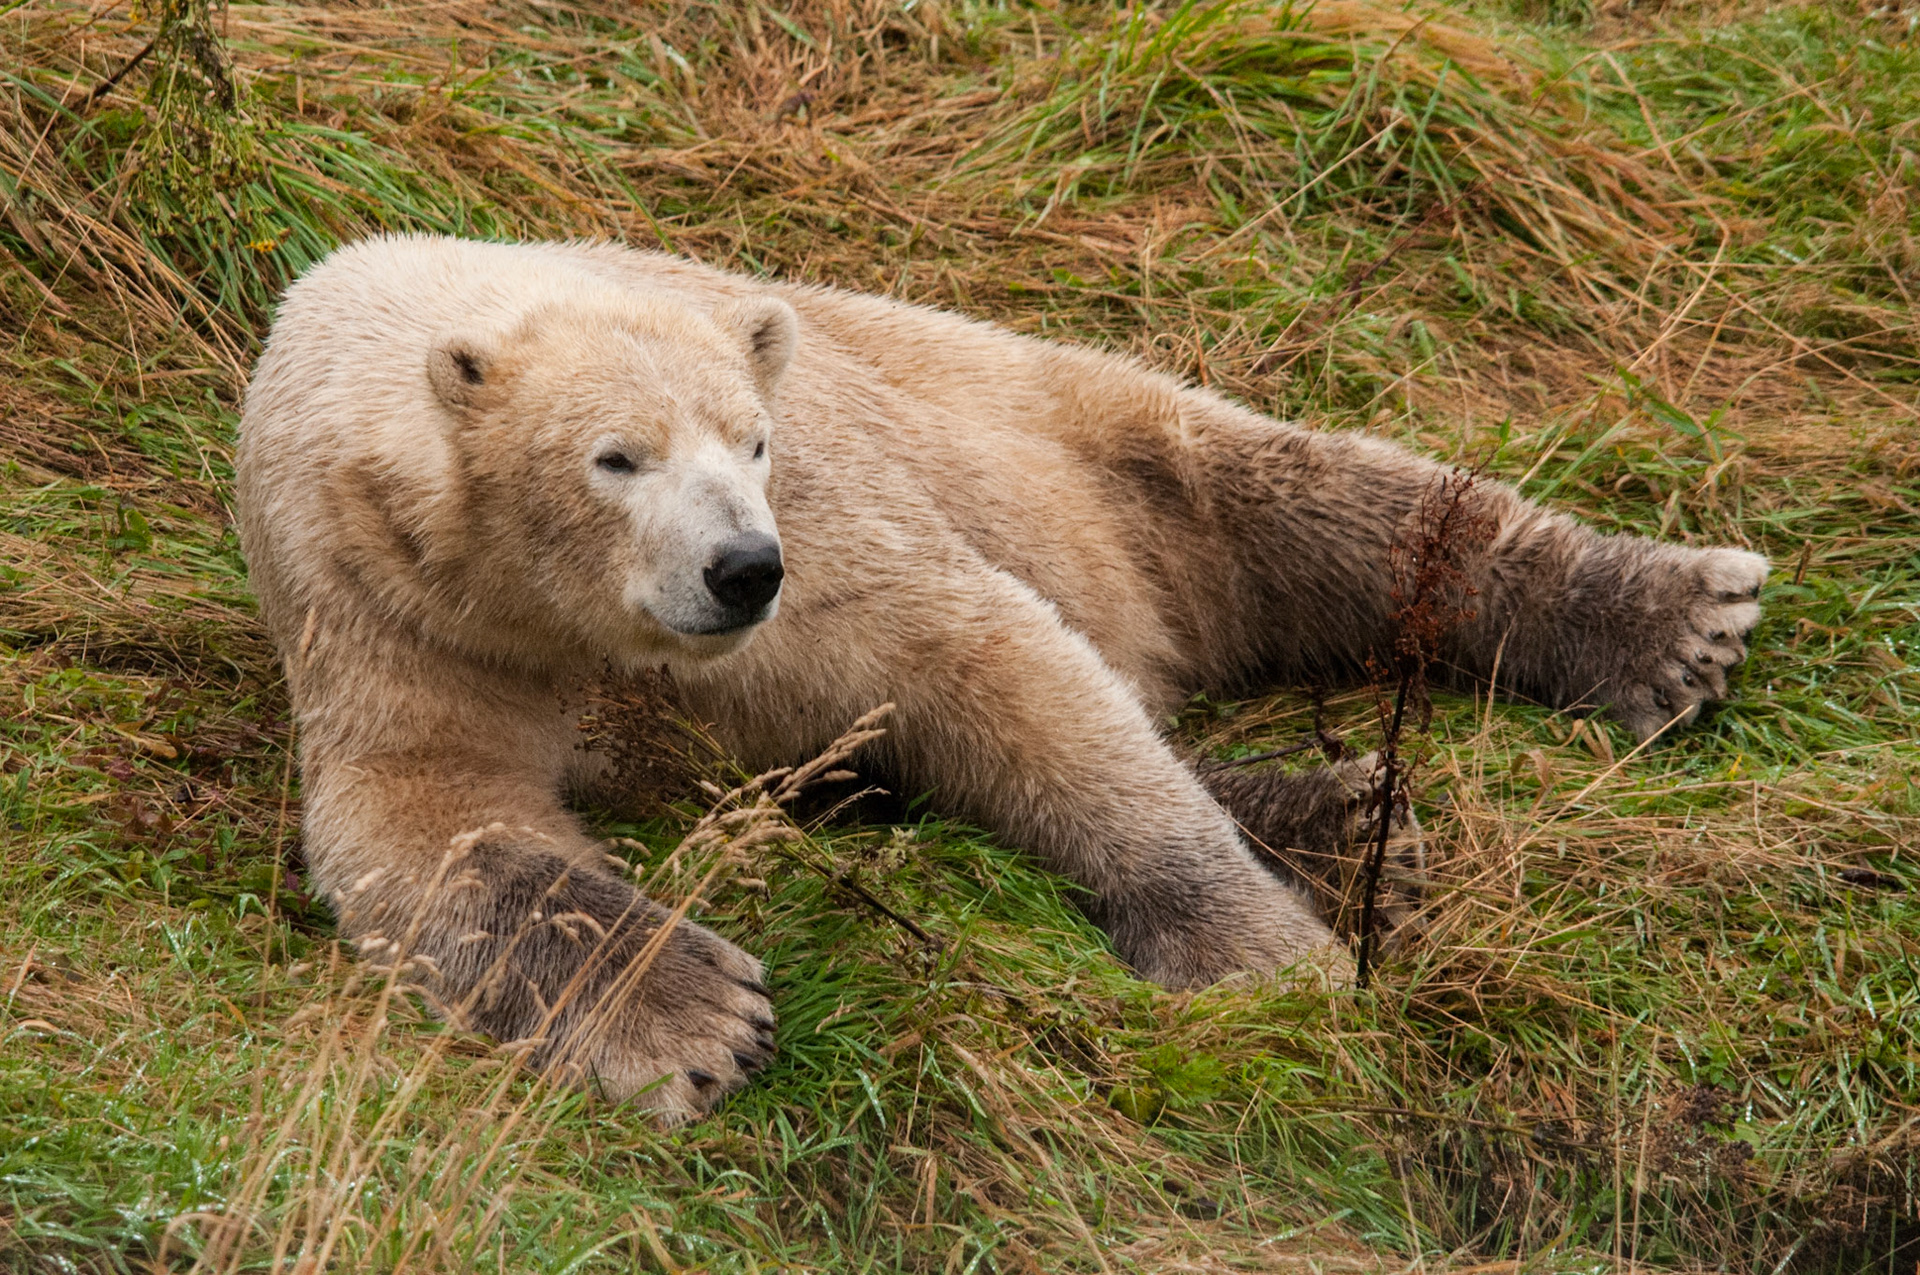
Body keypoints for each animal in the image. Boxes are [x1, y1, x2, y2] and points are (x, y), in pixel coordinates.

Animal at [236, 234, 1766, 1123]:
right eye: (616, 456)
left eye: (752, 437)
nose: (741, 569)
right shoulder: (397, 609)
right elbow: (432, 817)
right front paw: (690, 1017)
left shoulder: (841, 523)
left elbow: (980, 654)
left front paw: (1255, 956)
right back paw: (1352, 822)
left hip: (1048, 425)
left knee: (1310, 508)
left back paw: (1666, 619)